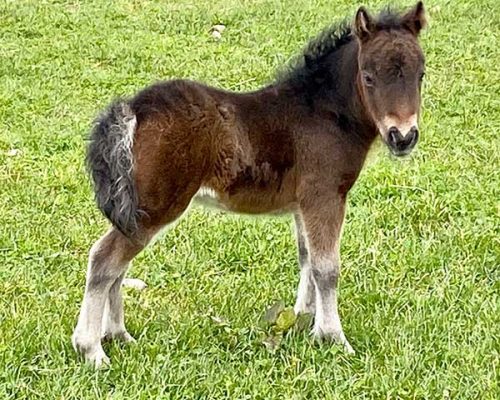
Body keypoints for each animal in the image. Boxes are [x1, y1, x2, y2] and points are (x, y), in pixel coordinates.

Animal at [73, 2, 426, 366]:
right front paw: (333, 338)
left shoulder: (302, 203)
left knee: (118, 264)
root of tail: (133, 108)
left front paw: (302, 321)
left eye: (421, 75)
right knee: (105, 259)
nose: (403, 137)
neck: (325, 113)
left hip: (135, 209)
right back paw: (92, 349)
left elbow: (307, 259)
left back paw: (118, 335)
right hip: (154, 207)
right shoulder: (325, 196)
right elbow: (326, 267)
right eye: (368, 77)